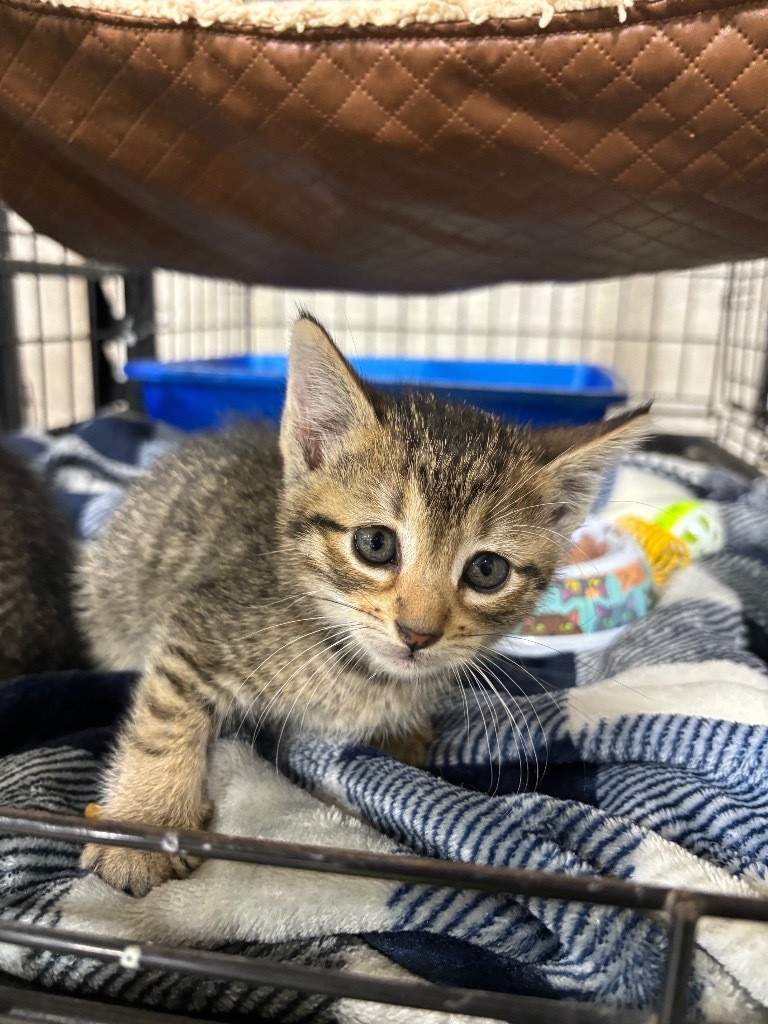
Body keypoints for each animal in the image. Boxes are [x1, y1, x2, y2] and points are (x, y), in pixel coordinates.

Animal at [79, 313, 651, 897]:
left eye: (487, 571)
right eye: (375, 544)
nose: (418, 633)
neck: (358, 674)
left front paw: (404, 735)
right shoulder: (202, 624)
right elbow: (164, 723)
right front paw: (147, 825)